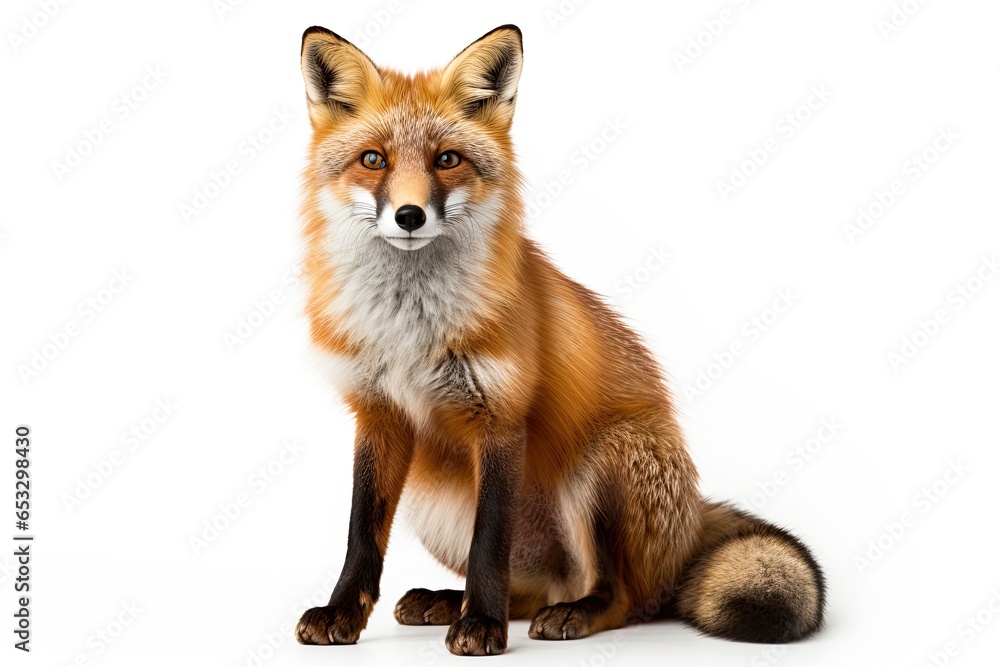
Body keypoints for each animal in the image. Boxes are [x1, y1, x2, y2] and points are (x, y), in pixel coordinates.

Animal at [293, 24, 826, 656]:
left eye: (447, 159)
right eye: (373, 160)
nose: (409, 215)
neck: (410, 329)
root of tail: (692, 517)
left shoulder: (500, 417)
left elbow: (489, 545)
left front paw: (482, 625)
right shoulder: (378, 416)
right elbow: (362, 535)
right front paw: (342, 611)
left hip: (603, 461)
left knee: (624, 598)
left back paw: (567, 610)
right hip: (433, 497)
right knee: (531, 591)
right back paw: (449, 601)